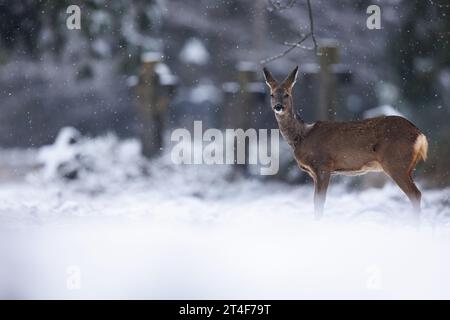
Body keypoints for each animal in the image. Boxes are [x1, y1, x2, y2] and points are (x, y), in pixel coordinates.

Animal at [264, 65, 428, 220]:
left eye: (287, 94)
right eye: (272, 94)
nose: (278, 106)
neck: (303, 136)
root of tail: (420, 135)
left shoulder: (323, 165)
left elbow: (320, 202)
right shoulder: (314, 173)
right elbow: (315, 202)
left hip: (396, 162)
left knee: (415, 194)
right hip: (408, 166)